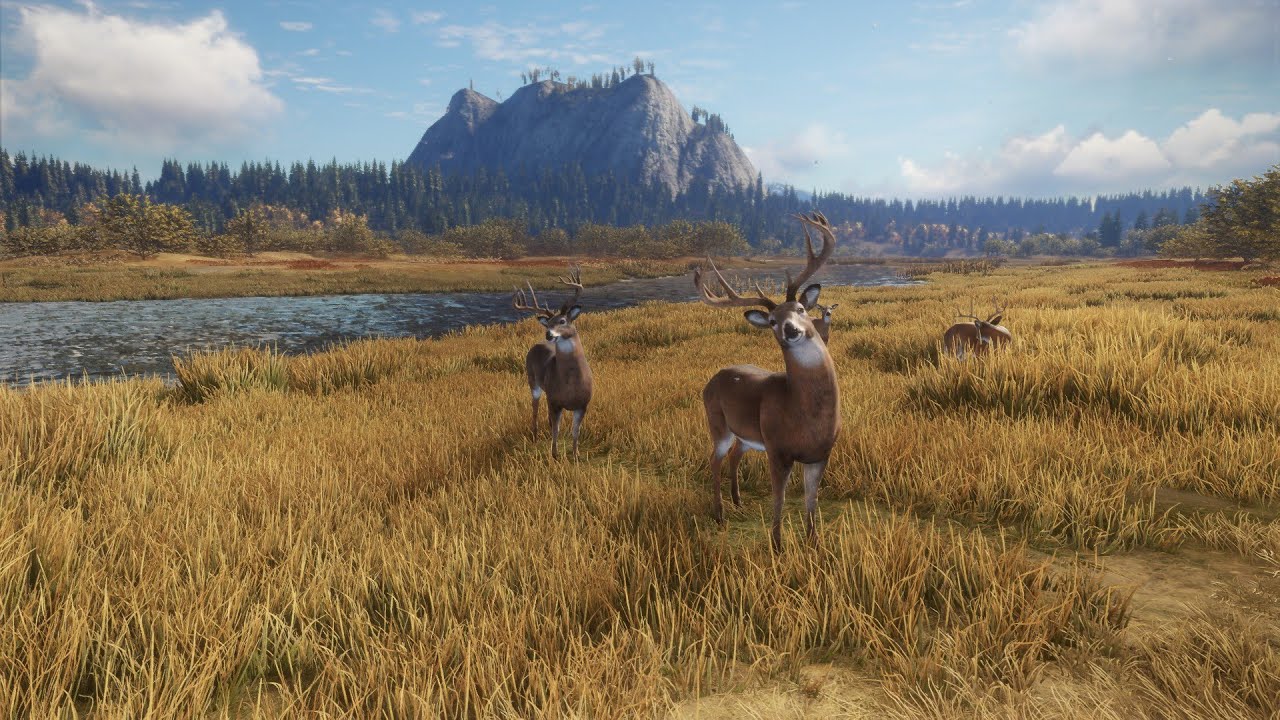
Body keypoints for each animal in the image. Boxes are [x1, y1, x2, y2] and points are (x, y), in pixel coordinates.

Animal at [512, 266, 593, 458]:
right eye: (548, 323)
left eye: (562, 320)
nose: (548, 334)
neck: (571, 383)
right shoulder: (555, 401)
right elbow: (556, 428)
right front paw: (554, 454)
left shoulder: (583, 404)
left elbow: (575, 430)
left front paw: (575, 454)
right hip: (533, 382)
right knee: (535, 408)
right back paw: (534, 436)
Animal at [694, 211, 840, 551]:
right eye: (773, 321)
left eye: (800, 309)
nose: (790, 329)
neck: (802, 412)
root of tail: (713, 378)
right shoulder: (777, 449)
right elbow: (779, 499)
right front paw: (777, 545)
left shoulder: (820, 454)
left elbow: (811, 501)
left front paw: (814, 542)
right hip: (717, 422)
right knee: (714, 459)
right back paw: (720, 513)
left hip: (747, 436)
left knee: (735, 455)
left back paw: (737, 501)